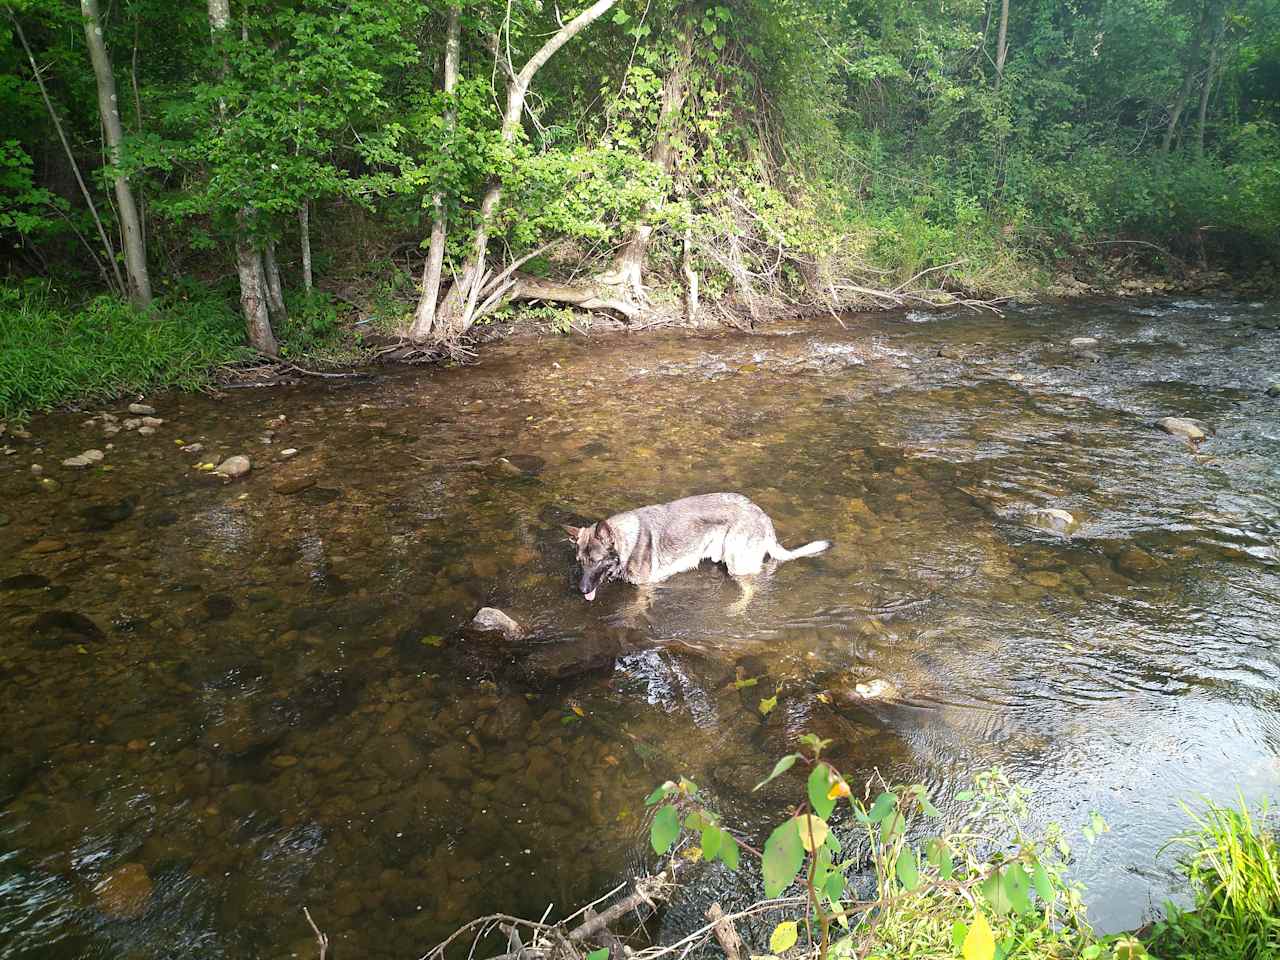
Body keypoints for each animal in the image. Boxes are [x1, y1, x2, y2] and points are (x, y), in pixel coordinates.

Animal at [563, 491, 829, 604]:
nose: (581, 589)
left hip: (738, 566)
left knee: (752, 589)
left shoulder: (645, 590)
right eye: (580, 562)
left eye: (597, 561)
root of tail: (761, 514)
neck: (626, 541)